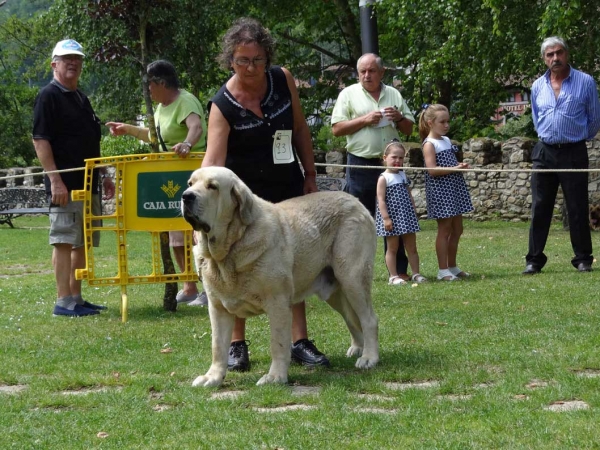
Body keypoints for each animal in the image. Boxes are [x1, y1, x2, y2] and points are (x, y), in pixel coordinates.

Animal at [182, 166, 380, 386]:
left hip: (352, 278)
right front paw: (213, 377)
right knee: (352, 319)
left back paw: (369, 358)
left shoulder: (277, 302)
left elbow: (277, 343)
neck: (230, 248)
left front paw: (275, 376)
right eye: (190, 183)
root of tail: (356, 201)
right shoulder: (217, 308)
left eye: (213, 186)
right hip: (335, 292)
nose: (186, 196)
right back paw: (358, 348)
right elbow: (218, 346)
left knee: (369, 319)